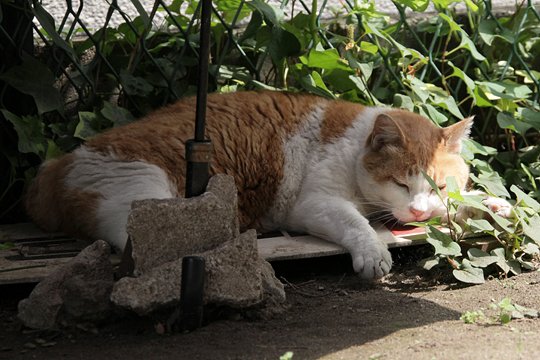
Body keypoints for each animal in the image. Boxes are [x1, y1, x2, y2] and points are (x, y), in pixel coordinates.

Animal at [25, 90, 508, 278]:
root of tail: (56, 164)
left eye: (439, 187)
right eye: (401, 184)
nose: (419, 210)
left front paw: (492, 204)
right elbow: (358, 226)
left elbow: (466, 204)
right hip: (146, 189)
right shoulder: (314, 205)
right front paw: (373, 254)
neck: (354, 145)